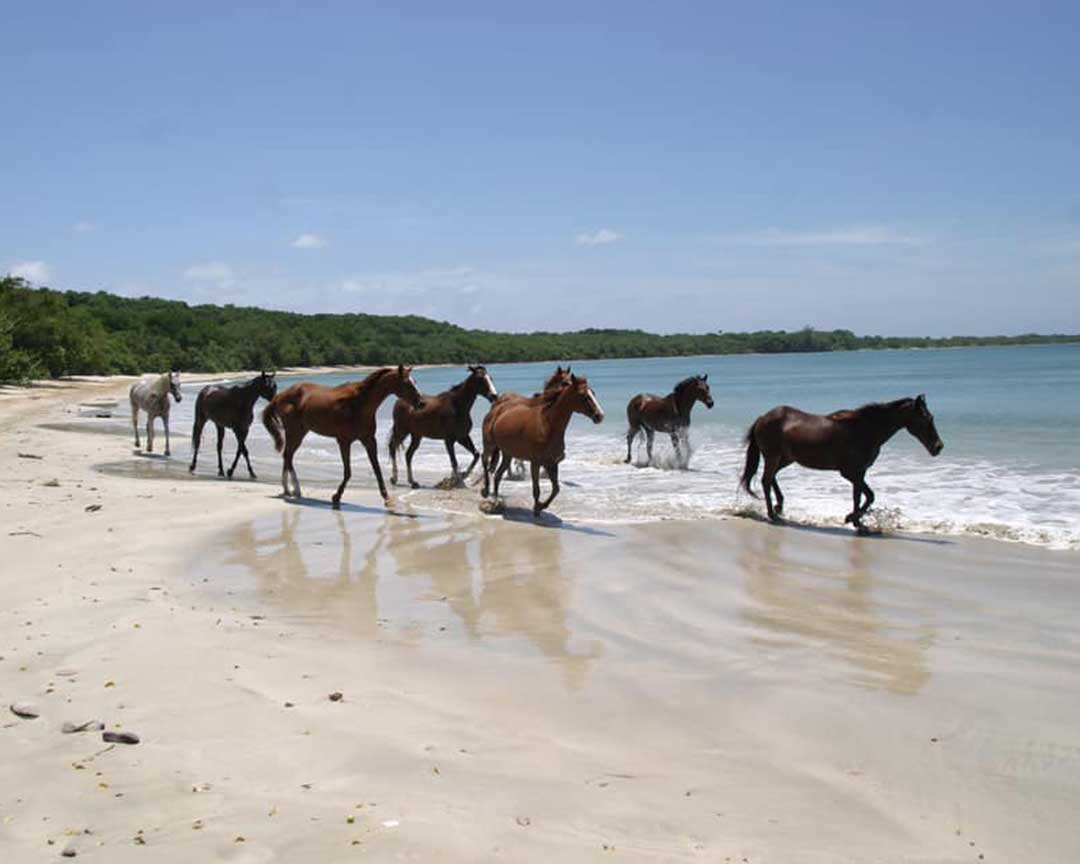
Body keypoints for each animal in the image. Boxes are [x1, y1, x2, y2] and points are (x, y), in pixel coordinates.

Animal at [261, 365, 423, 508]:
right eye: (407, 383)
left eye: (415, 381)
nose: (421, 402)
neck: (359, 403)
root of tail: (279, 396)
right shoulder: (344, 441)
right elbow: (348, 472)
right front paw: (336, 496)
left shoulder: (369, 440)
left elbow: (377, 469)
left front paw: (386, 497)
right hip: (294, 432)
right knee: (288, 456)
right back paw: (295, 490)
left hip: (300, 432)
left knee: (287, 456)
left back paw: (288, 490)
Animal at [481, 374, 605, 516]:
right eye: (584, 395)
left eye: (593, 393)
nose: (600, 416)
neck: (547, 425)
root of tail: (496, 408)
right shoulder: (536, 463)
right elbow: (537, 489)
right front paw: (536, 509)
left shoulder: (552, 463)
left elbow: (556, 489)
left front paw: (541, 506)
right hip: (489, 445)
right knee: (485, 462)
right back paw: (485, 491)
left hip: (508, 454)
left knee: (498, 475)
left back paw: (495, 501)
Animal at [740, 394, 944, 532]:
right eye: (926, 419)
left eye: (931, 417)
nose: (938, 447)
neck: (866, 430)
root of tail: (762, 417)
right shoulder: (851, 472)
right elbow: (865, 496)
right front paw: (853, 520)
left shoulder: (859, 472)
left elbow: (864, 496)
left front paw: (855, 520)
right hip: (774, 456)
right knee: (766, 480)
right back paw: (773, 514)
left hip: (785, 458)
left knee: (772, 477)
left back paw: (779, 507)